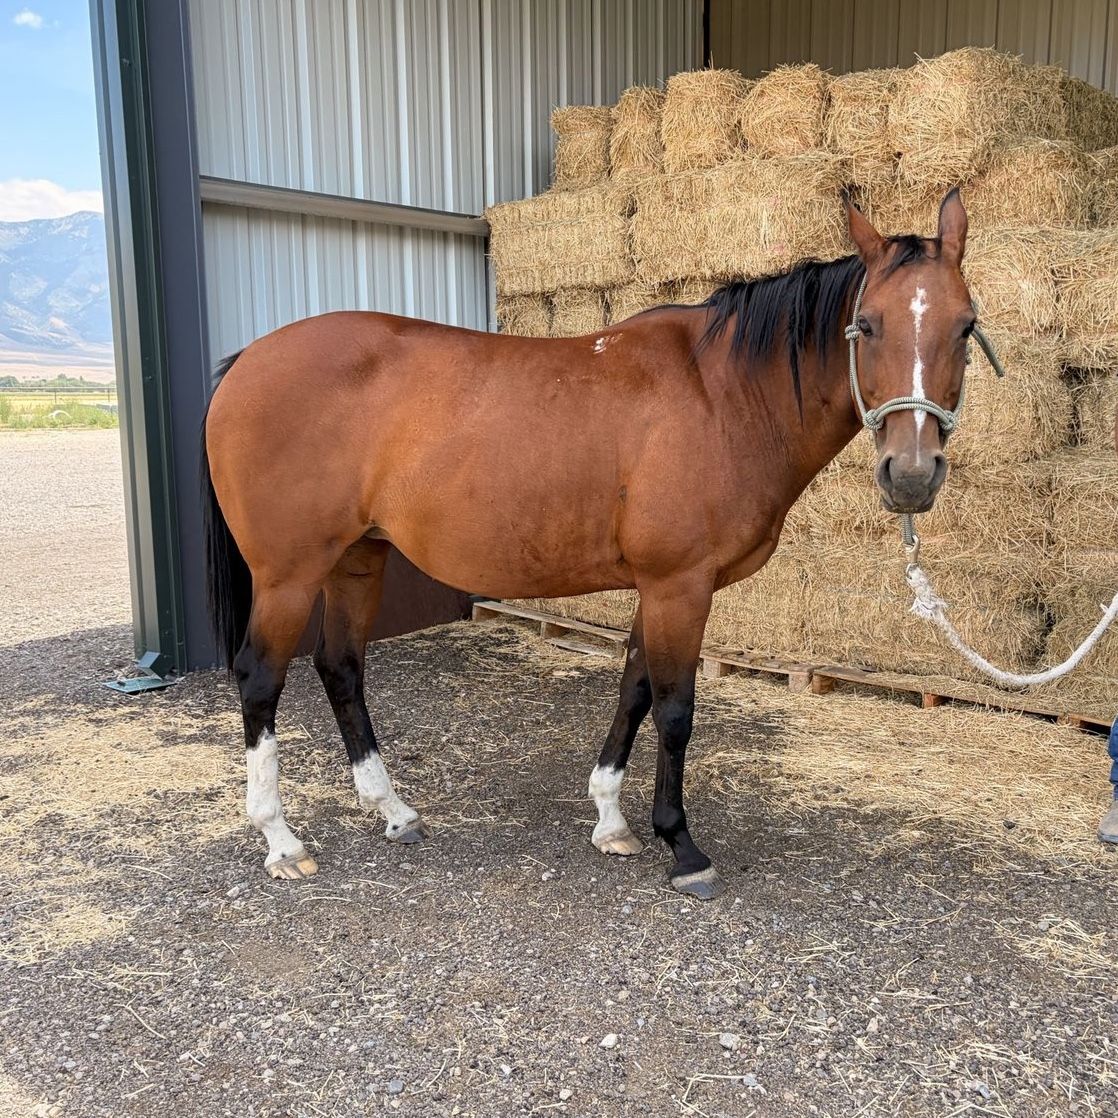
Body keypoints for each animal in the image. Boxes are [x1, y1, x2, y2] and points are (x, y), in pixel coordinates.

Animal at [201, 191, 974, 899]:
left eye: (966, 326)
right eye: (866, 325)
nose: (911, 474)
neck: (721, 394)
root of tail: (246, 362)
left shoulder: (658, 588)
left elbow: (634, 687)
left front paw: (612, 821)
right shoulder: (679, 585)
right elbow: (674, 706)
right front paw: (682, 846)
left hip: (357, 558)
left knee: (340, 666)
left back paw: (393, 810)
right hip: (289, 574)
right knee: (261, 678)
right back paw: (281, 840)